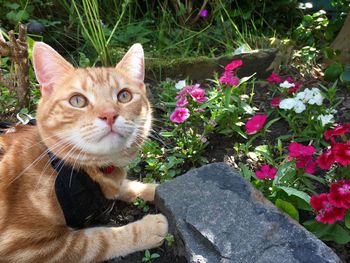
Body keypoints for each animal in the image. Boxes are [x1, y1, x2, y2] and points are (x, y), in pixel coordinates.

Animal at [0, 42, 168, 262]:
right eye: (77, 101)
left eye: (124, 96)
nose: (109, 115)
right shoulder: (25, 248)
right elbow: (98, 239)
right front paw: (148, 228)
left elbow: (127, 186)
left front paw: (157, 190)